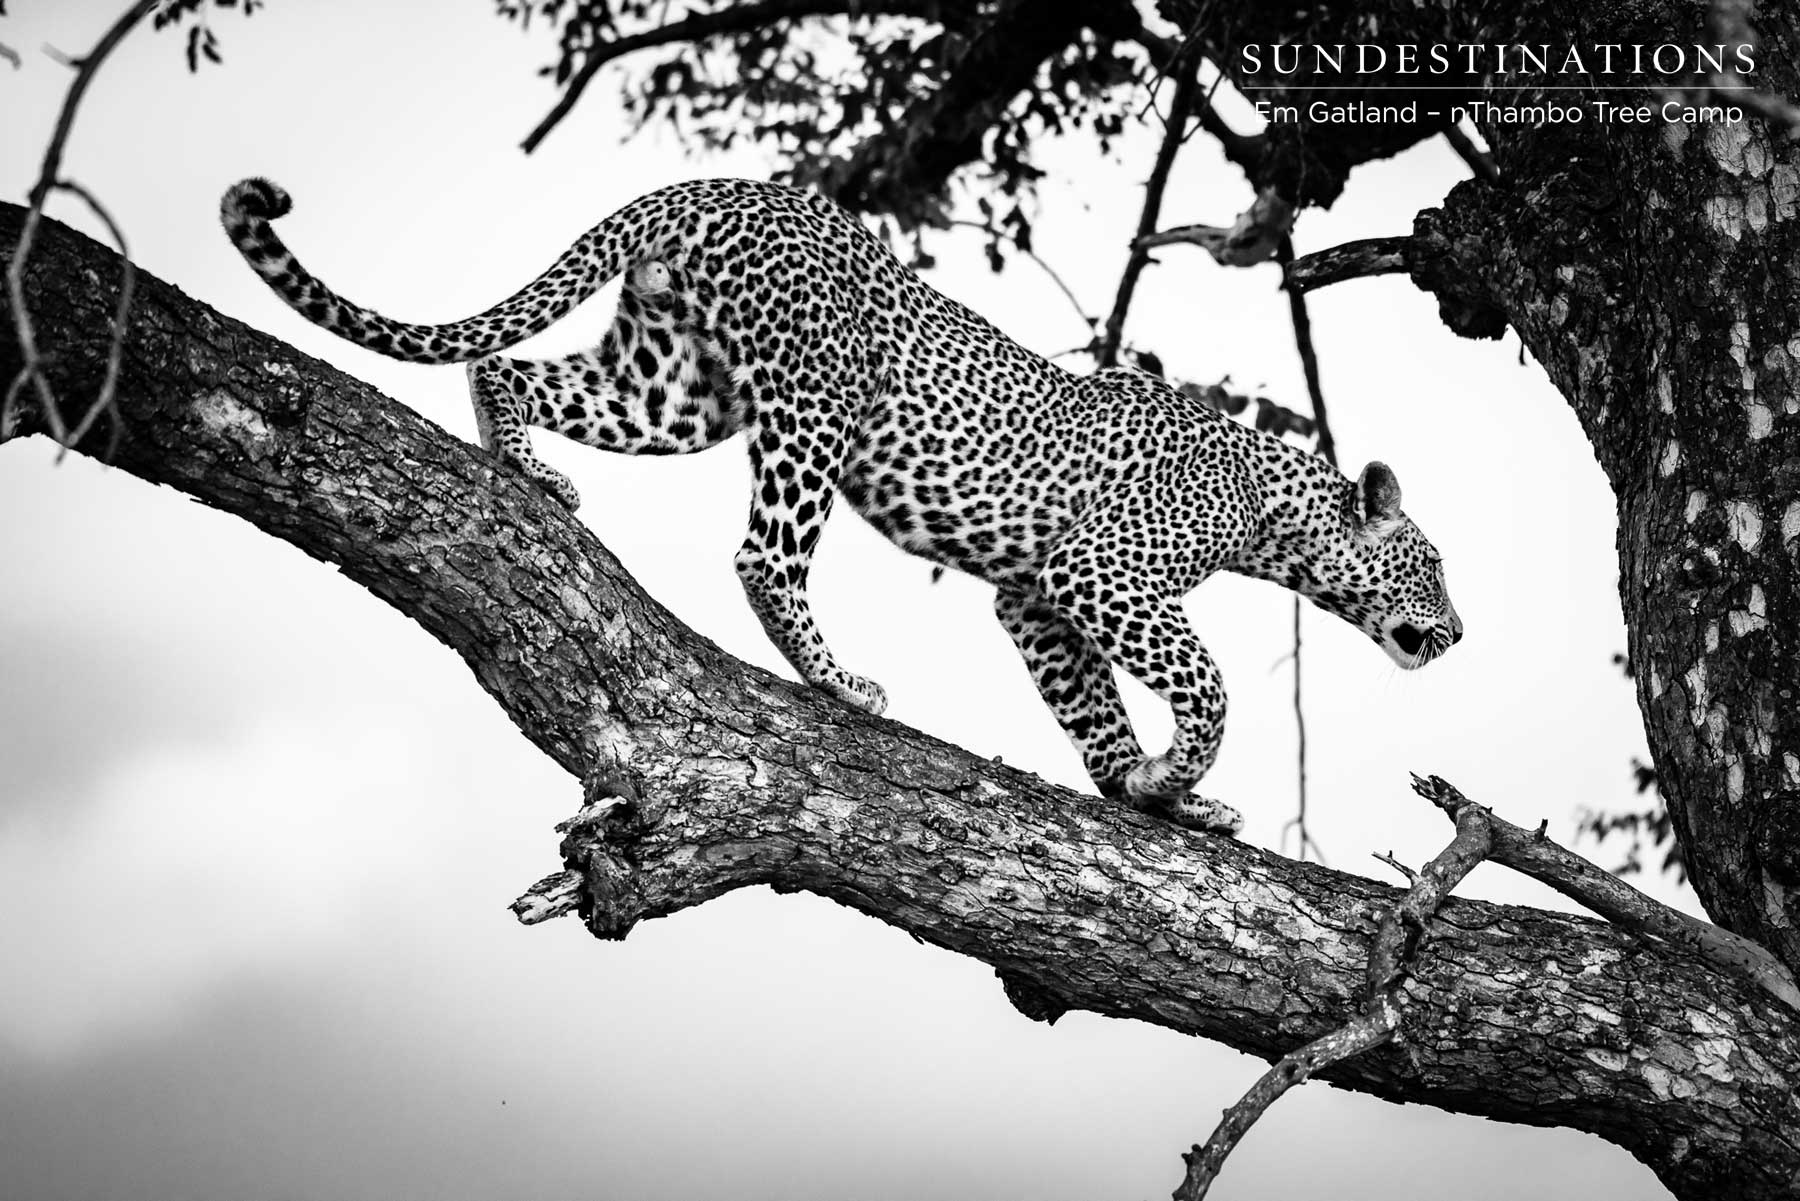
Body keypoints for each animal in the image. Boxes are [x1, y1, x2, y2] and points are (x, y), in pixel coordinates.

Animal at [220, 175, 1462, 835]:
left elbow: (1094, 711)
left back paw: (531, 468)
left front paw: (1153, 794)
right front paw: (1177, 776)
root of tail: (717, 183)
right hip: (811, 407)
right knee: (763, 559)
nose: (1455, 632)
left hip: (675, 386)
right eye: (1436, 564)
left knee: (507, 370)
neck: (1271, 507)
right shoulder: (1097, 574)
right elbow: (1204, 687)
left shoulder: (1034, 600)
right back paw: (838, 681)